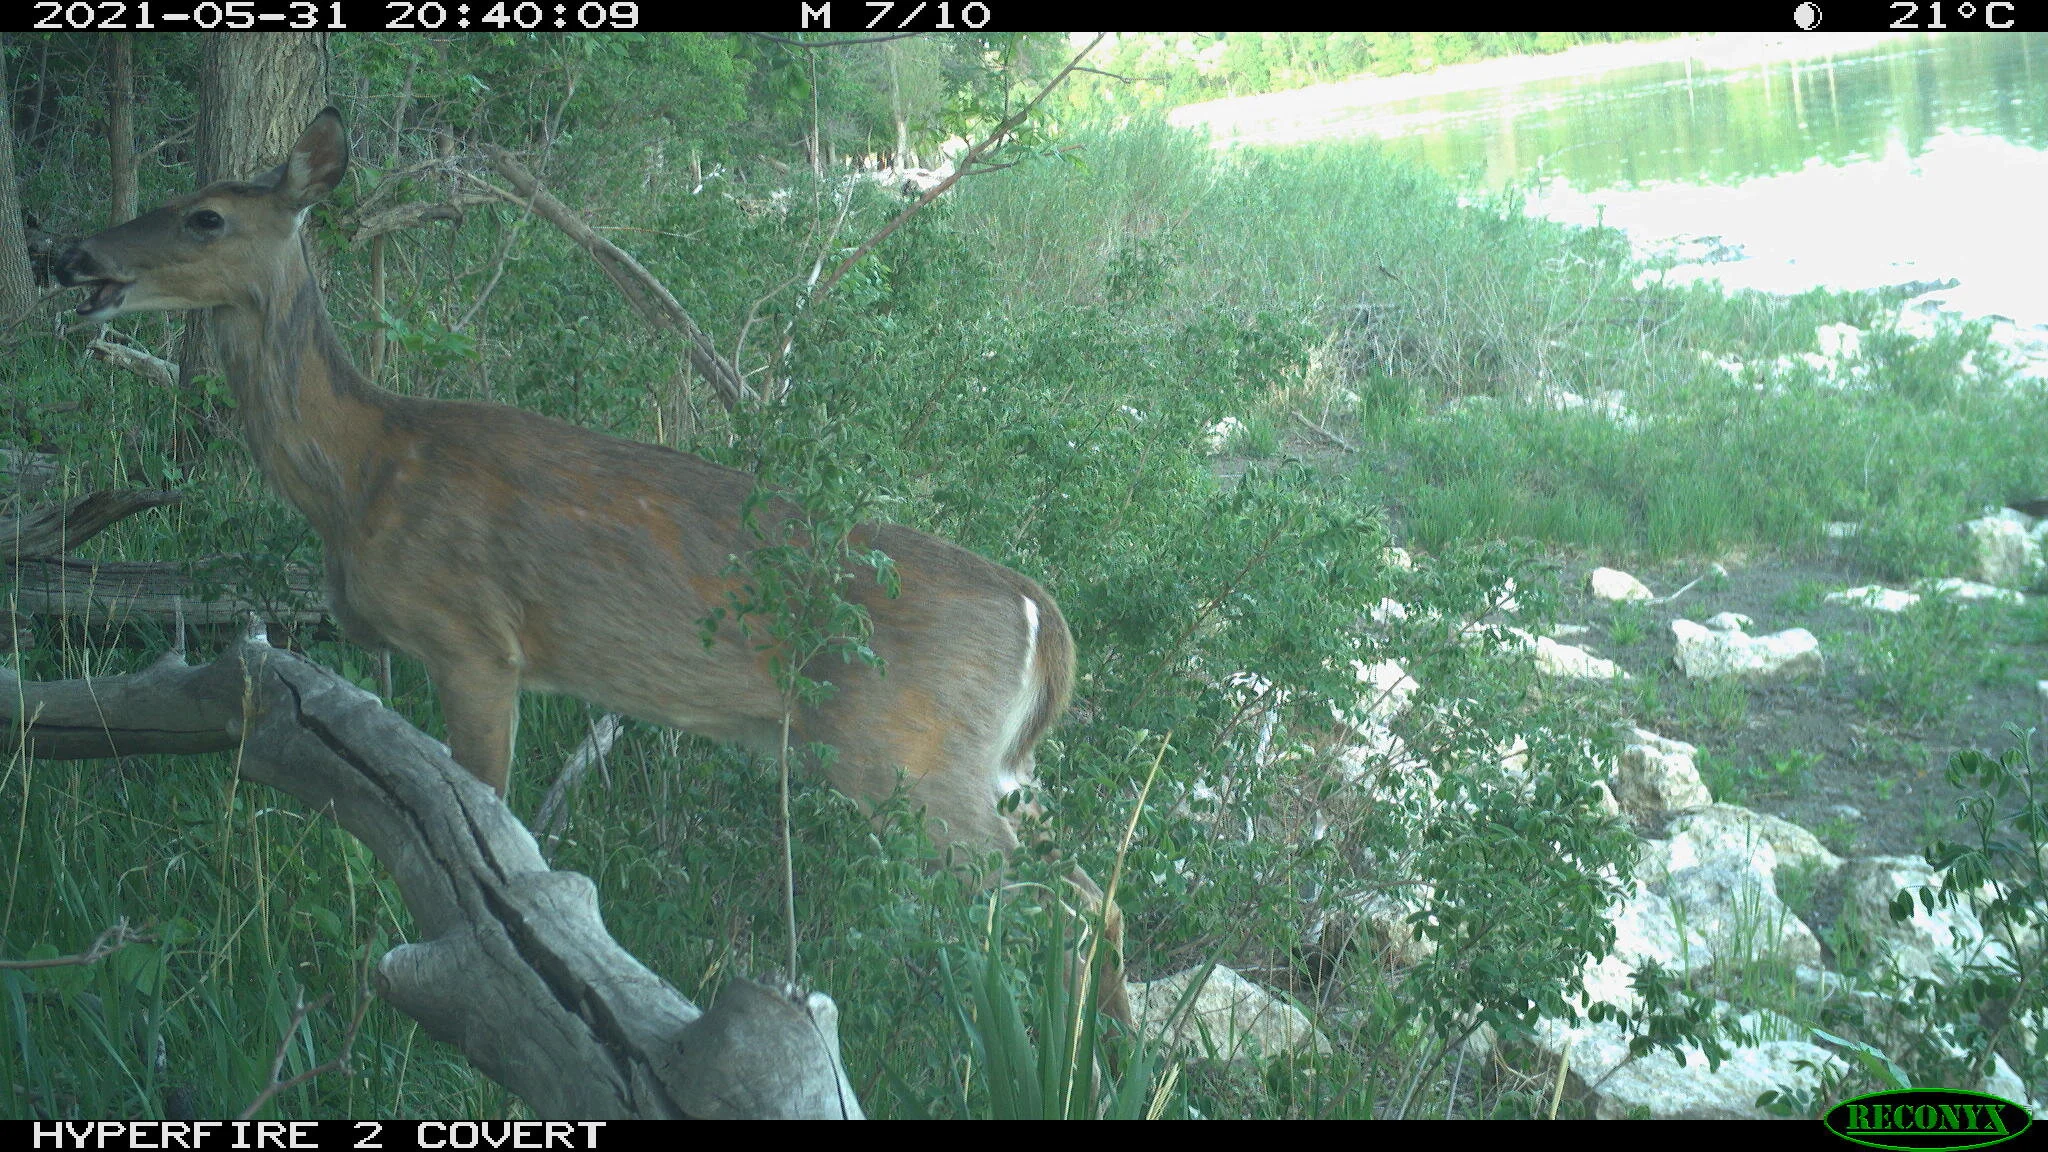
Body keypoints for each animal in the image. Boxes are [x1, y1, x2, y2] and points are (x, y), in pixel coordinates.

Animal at [57, 109, 1130, 1029]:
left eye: (206, 215)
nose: (68, 254)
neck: (359, 470)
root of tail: (1042, 616)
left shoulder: (474, 641)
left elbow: (477, 838)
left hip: (909, 759)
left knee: (1043, 899)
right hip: (992, 766)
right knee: (1091, 888)